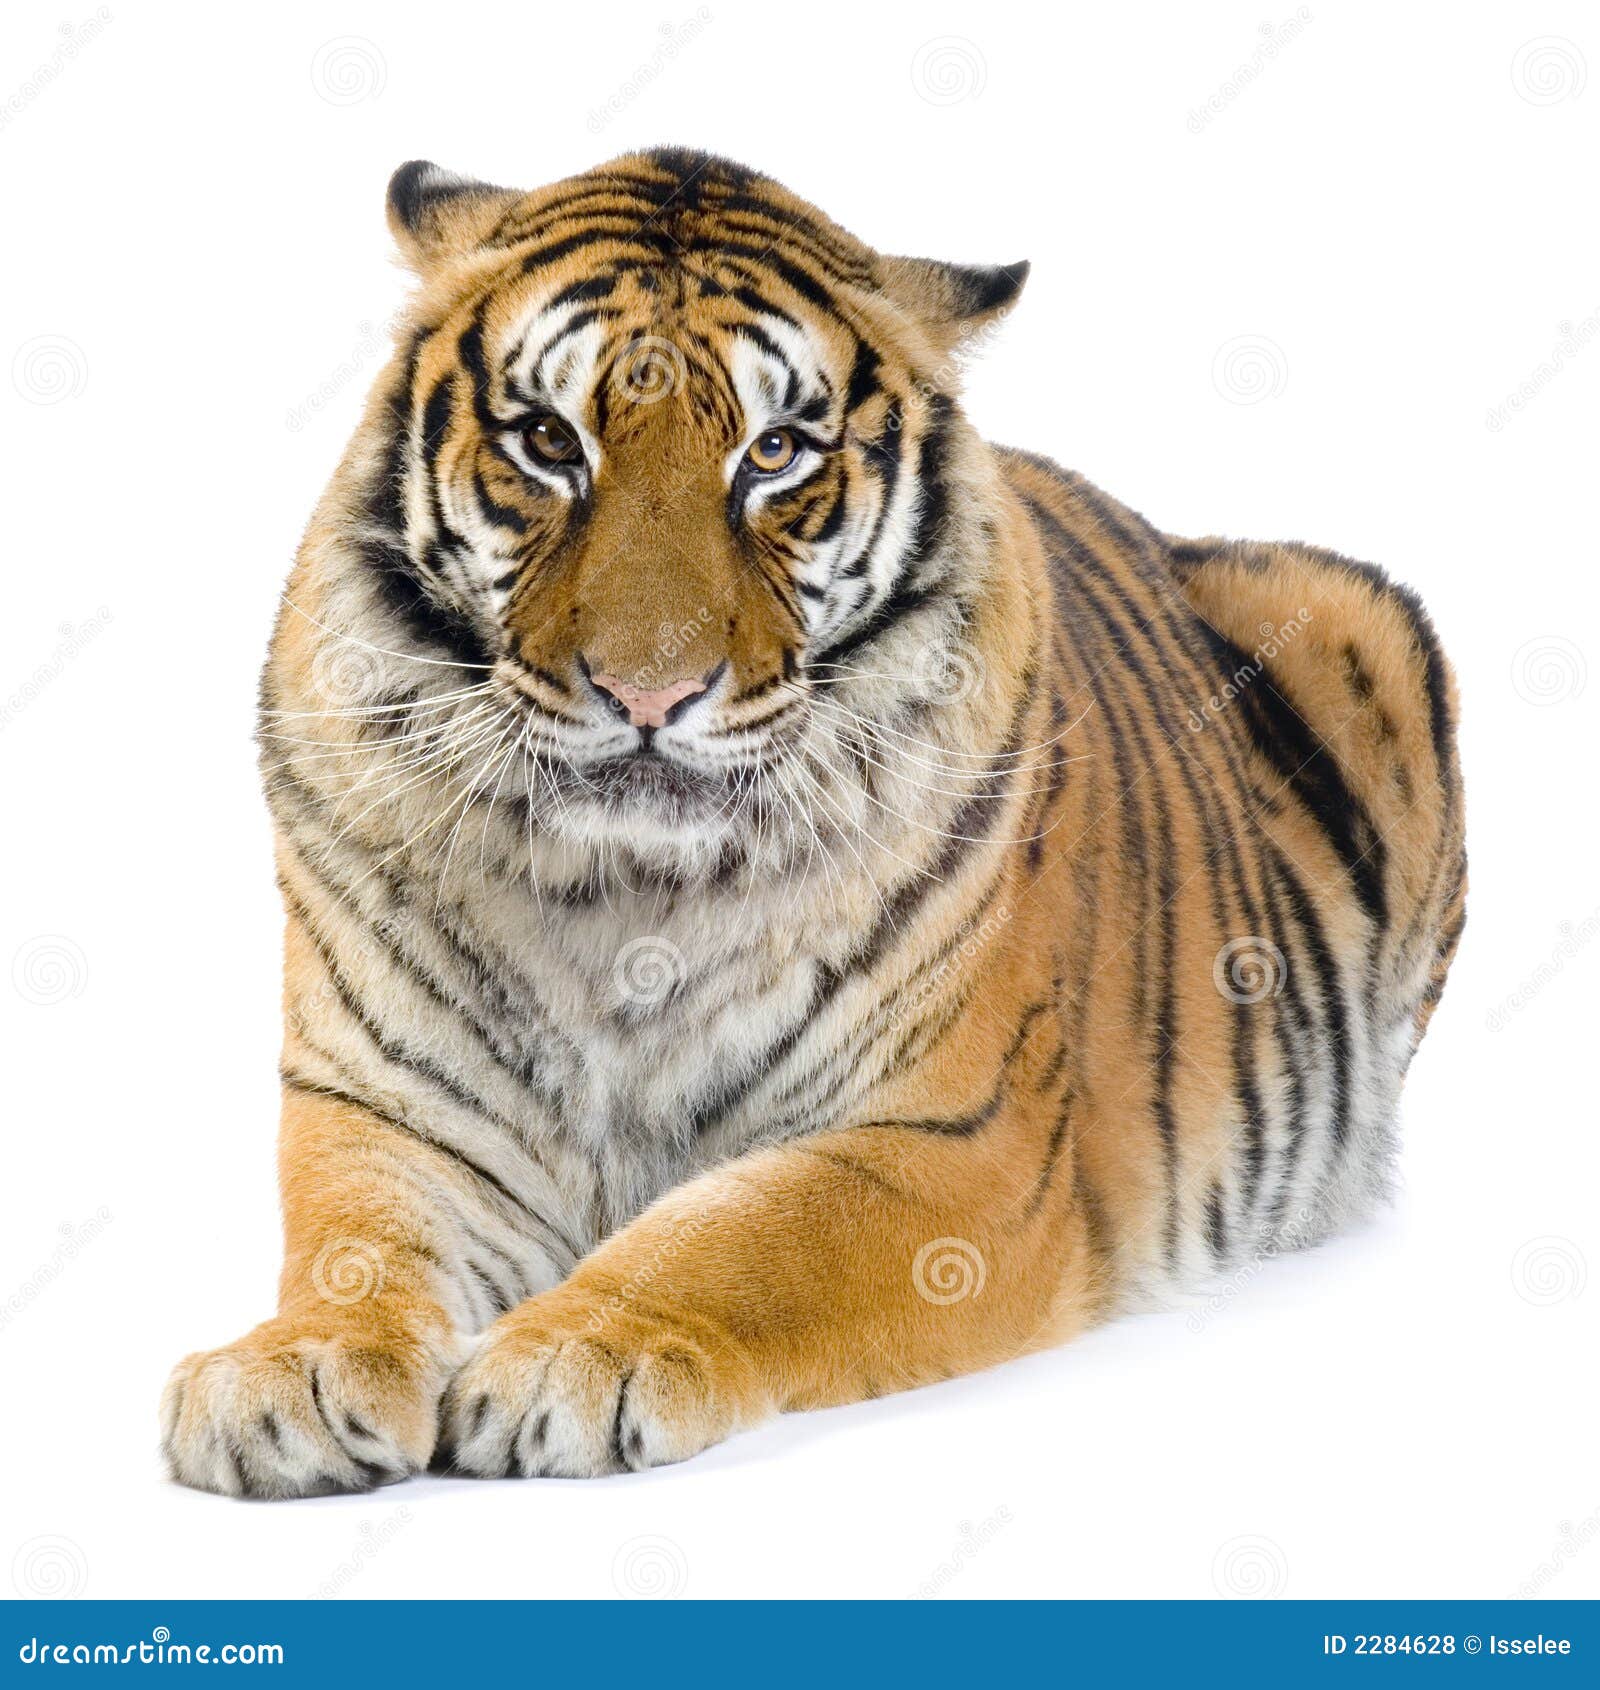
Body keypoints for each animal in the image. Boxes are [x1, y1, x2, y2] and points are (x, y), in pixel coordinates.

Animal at [160, 149, 1465, 1497]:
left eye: (774, 453)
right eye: (547, 441)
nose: (648, 692)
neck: (626, 893)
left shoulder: (953, 1138)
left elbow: (742, 1239)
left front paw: (573, 1357)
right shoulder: (386, 1104)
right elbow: (356, 1243)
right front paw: (293, 1369)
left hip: (1357, 619)